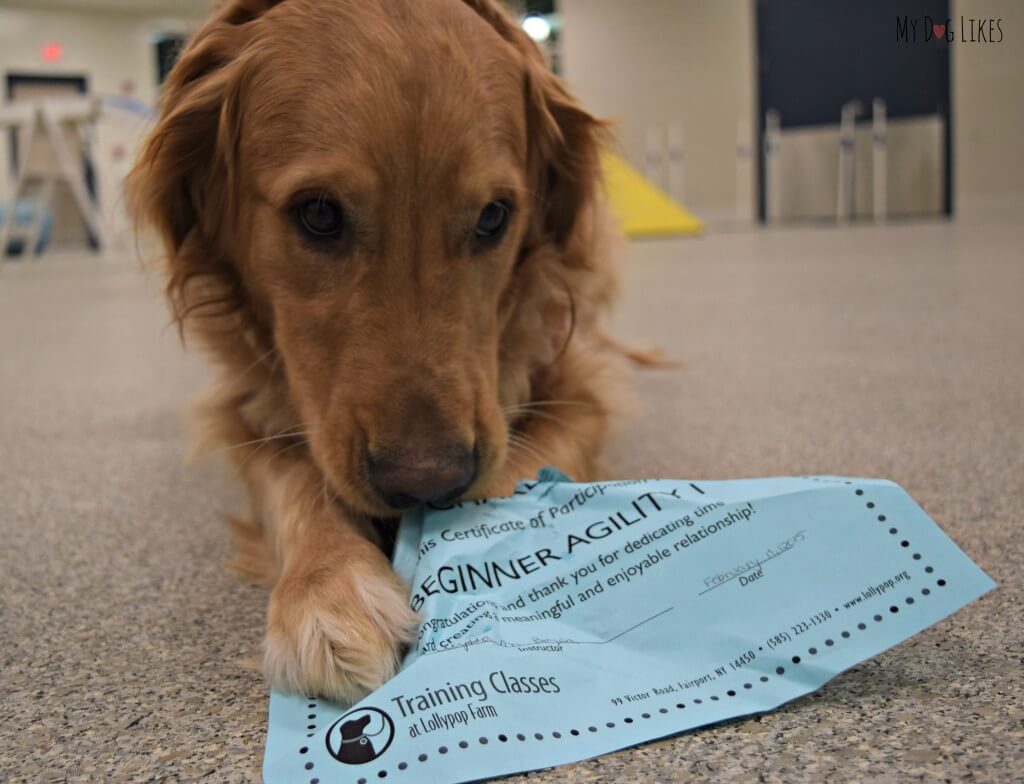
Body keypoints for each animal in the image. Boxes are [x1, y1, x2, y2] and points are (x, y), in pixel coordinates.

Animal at [128, 0, 622, 704]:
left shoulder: (579, 382)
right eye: (318, 214)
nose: (427, 481)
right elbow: (291, 478)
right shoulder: (240, 409)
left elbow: (521, 466)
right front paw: (326, 591)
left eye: (494, 217)